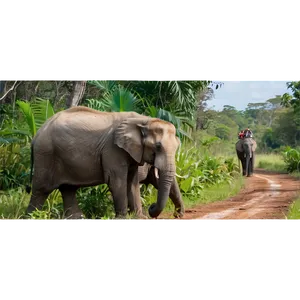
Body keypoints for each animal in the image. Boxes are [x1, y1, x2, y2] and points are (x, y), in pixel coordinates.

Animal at [25, 106, 180, 219]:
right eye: (158, 147)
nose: (151, 207)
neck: (144, 120)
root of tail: (36, 135)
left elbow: (132, 183)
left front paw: (139, 218)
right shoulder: (113, 149)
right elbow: (116, 181)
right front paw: (122, 219)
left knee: (68, 188)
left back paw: (78, 219)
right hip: (45, 154)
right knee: (42, 189)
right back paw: (31, 218)